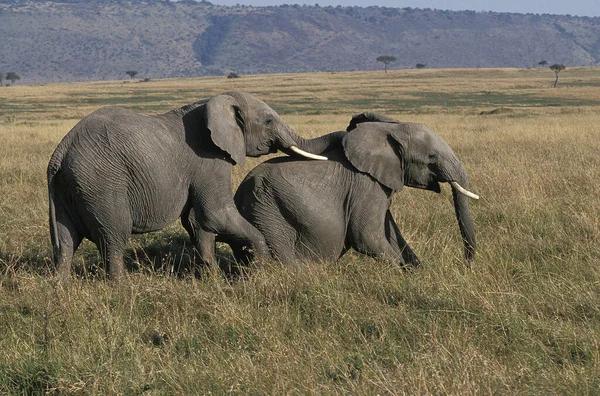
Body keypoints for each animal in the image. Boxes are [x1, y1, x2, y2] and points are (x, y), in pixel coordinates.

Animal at [47, 90, 344, 282]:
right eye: (269, 121)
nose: (351, 124)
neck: (215, 102)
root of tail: (60, 152)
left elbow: (196, 222)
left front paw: (211, 278)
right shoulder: (209, 159)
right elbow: (214, 214)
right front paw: (260, 270)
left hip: (67, 188)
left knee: (66, 239)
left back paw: (62, 288)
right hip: (101, 183)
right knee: (113, 236)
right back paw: (122, 288)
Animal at [232, 112, 480, 266]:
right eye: (432, 157)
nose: (466, 264)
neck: (388, 132)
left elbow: (391, 233)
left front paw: (417, 272)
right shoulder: (366, 185)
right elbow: (367, 237)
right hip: (269, 212)